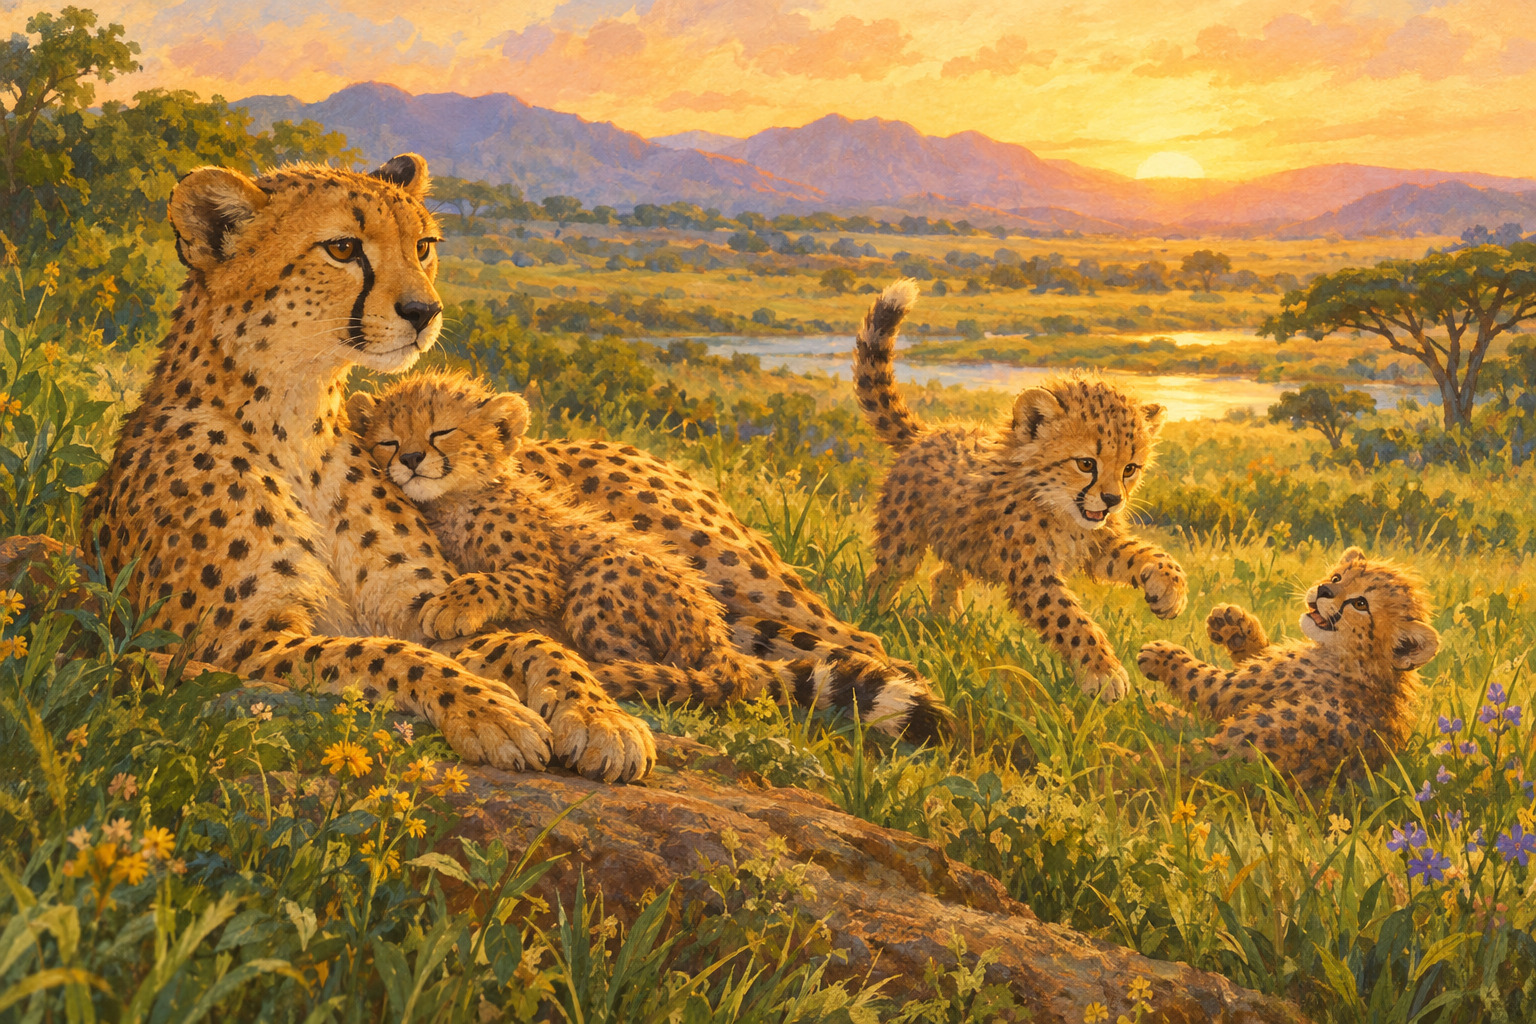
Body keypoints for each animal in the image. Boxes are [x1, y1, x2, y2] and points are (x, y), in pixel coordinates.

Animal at [82, 153, 654, 782]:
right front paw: (491, 712)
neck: (297, 418)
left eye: (423, 245)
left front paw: (602, 717)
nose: (424, 311)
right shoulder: (227, 645)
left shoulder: (416, 609)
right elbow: (382, 654)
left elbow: (534, 645)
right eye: (342, 248)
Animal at [347, 371, 953, 741]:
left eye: (440, 431)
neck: (452, 501)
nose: (411, 459)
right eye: (387, 440)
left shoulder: (545, 571)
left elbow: (499, 579)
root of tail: (720, 649)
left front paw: (452, 607)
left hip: (618, 574)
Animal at [852, 279, 1188, 700]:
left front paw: (1169, 588)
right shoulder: (1031, 572)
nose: (1112, 501)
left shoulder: (1095, 544)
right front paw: (1103, 673)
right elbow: (1069, 620)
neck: (1058, 508)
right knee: (886, 575)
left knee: (942, 576)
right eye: (1086, 464)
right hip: (905, 542)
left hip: (967, 547)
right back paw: (871, 615)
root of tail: (929, 432)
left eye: (1130, 469)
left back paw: (950, 626)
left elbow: (1144, 553)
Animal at [1137, 547, 1440, 788]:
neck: (1366, 665)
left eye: (1360, 603)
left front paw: (1161, 654)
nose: (1323, 590)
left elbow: (1202, 680)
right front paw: (1234, 626)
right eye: (1337, 578)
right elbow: (1260, 651)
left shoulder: (1229, 690)